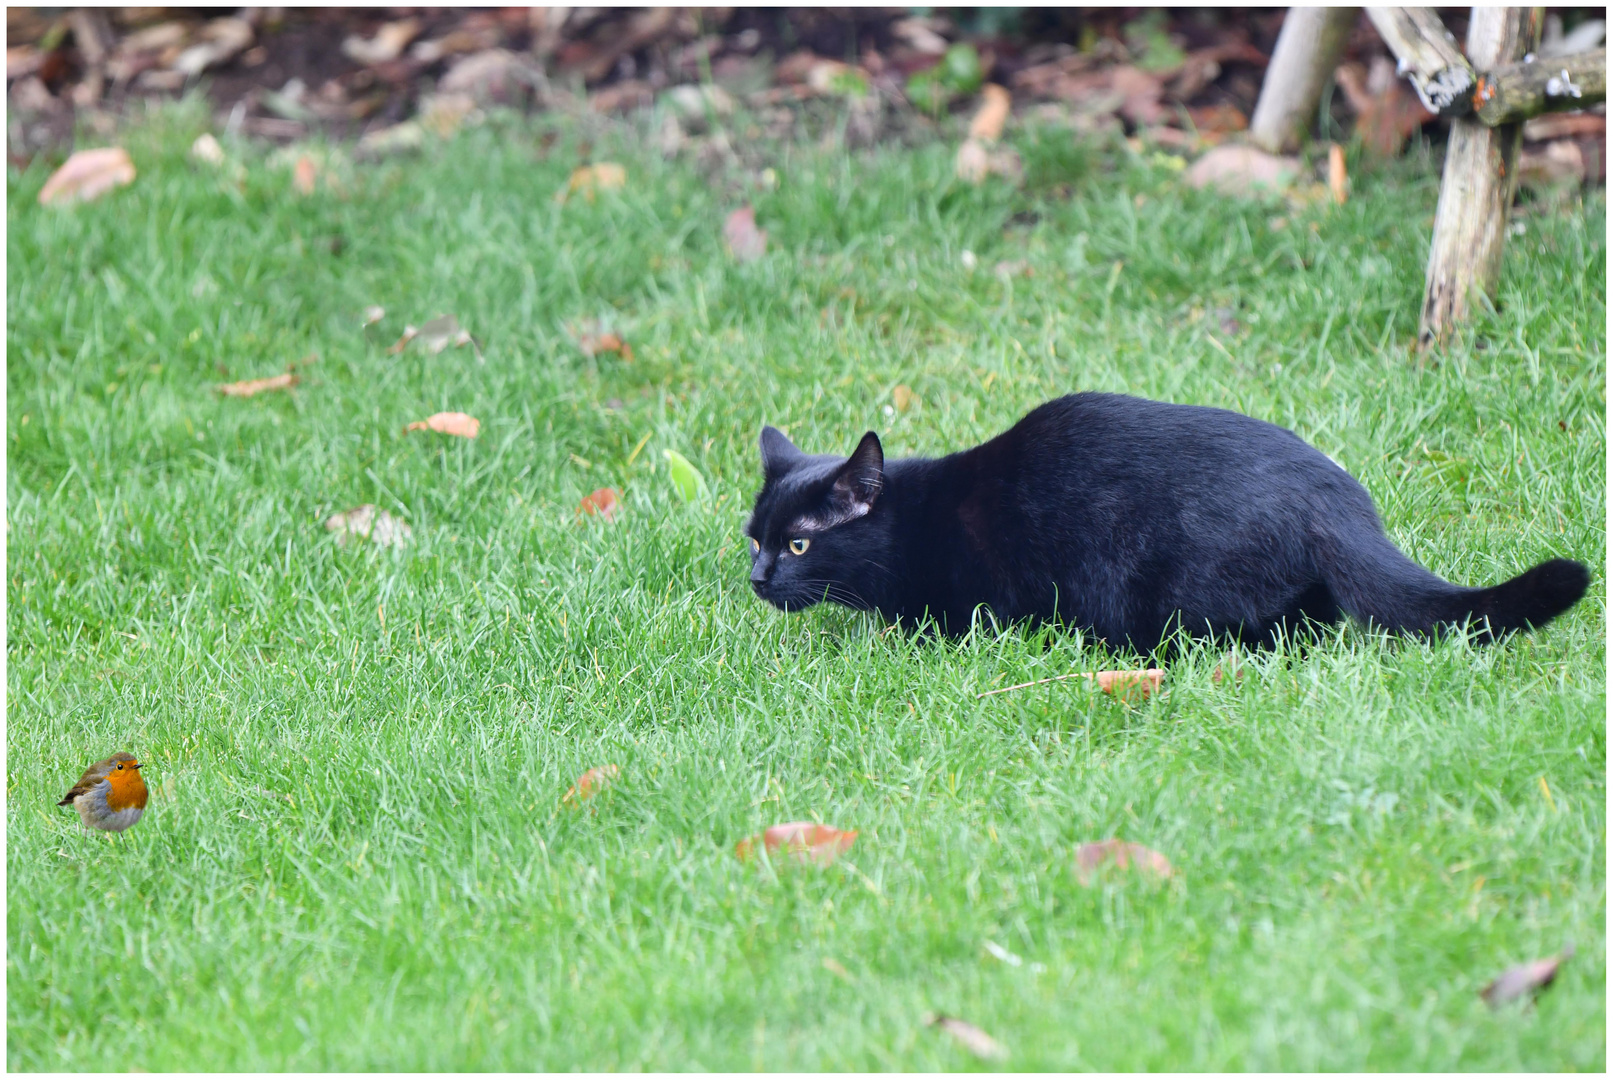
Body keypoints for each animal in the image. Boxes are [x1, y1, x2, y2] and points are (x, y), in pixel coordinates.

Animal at [741, 394, 1587, 654]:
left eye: (798, 543)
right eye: (754, 538)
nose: (755, 578)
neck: (915, 517)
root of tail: (1340, 504)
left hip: (1170, 588)